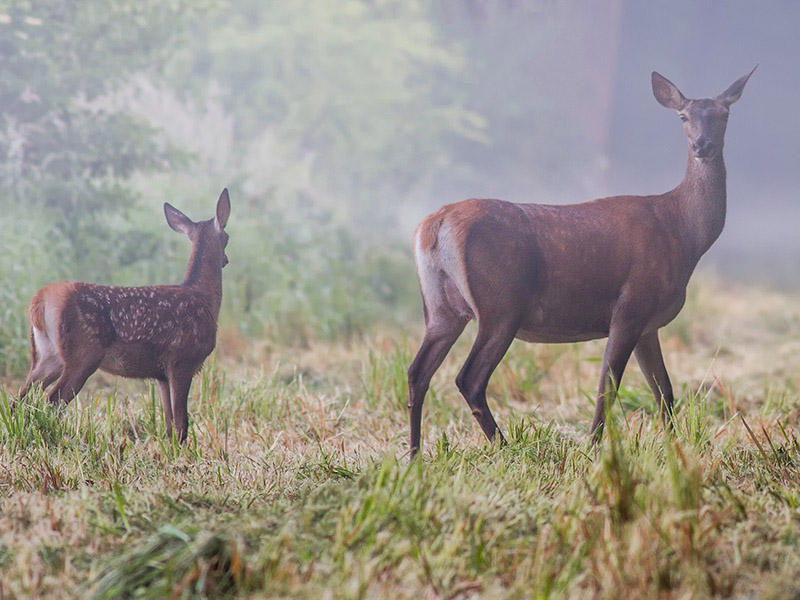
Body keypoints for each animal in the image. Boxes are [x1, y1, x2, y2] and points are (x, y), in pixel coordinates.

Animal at [18, 190, 231, 442]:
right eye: (227, 237)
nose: (226, 260)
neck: (204, 298)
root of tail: (39, 300)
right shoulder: (182, 361)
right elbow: (181, 423)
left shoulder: (161, 373)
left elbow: (168, 423)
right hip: (82, 354)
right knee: (52, 401)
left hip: (47, 355)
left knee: (20, 398)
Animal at [410, 68, 752, 458]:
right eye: (683, 116)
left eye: (723, 114)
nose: (702, 146)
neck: (682, 233)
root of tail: (434, 224)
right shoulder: (630, 306)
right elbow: (608, 387)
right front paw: (592, 449)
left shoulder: (649, 324)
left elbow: (663, 390)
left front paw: (674, 449)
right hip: (500, 304)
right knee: (468, 378)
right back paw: (506, 447)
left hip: (441, 307)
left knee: (417, 372)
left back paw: (414, 453)